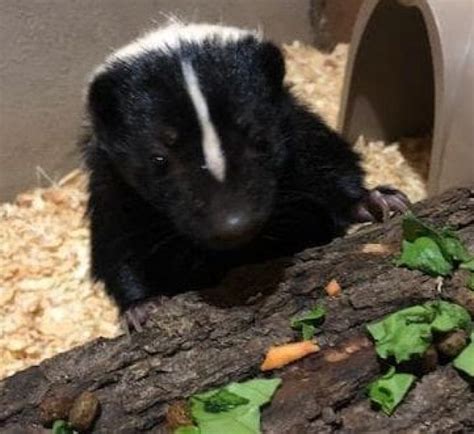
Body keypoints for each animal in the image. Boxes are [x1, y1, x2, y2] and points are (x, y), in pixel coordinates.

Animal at [82, 22, 408, 330]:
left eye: (260, 139)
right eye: (159, 158)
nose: (233, 224)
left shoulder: (295, 126)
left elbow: (329, 162)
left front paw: (372, 201)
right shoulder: (111, 181)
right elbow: (116, 246)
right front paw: (141, 306)